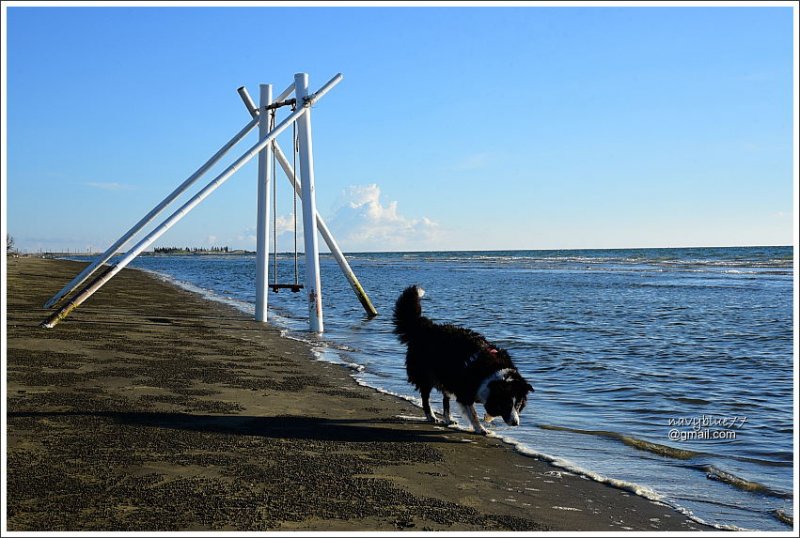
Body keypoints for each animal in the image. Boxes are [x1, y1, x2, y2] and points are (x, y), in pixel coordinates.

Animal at [392, 284, 536, 432]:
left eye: (518, 405)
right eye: (506, 404)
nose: (515, 423)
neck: (494, 373)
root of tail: (425, 327)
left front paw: (486, 419)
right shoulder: (464, 391)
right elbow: (472, 413)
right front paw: (480, 429)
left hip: (447, 377)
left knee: (445, 400)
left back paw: (448, 419)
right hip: (427, 374)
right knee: (425, 396)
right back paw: (431, 416)